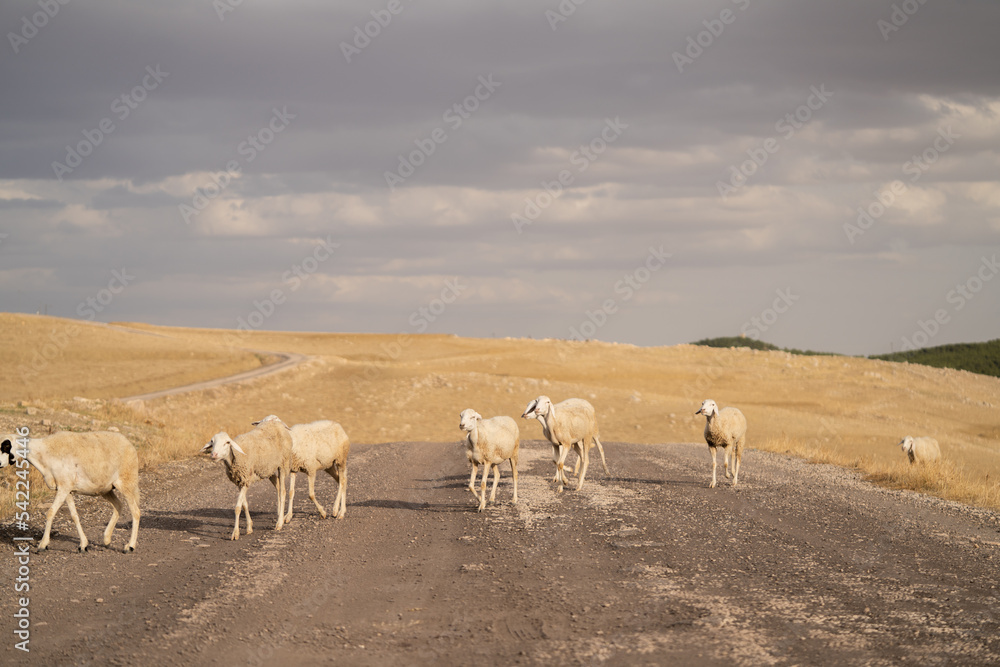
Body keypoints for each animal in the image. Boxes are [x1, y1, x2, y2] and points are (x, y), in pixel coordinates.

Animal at [0, 430, 142, 556]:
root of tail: (129, 444)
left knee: (136, 512)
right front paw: (83, 545)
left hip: (127, 482)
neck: (44, 452)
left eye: (6, 446)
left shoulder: (63, 488)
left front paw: (43, 545)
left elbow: (50, 512)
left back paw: (130, 546)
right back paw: (106, 539)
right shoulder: (66, 489)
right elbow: (74, 516)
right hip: (106, 488)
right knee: (118, 505)